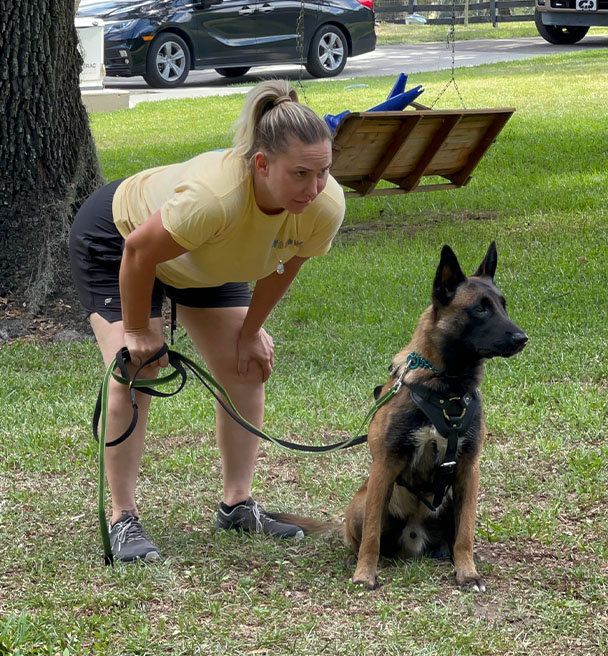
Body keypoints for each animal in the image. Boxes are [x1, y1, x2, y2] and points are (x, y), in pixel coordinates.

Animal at [276, 241, 528, 588]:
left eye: (504, 306)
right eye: (480, 309)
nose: (522, 338)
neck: (446, 388)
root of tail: (414, 539)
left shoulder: (468, 469)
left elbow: (465, 534)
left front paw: (468, 572)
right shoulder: (385, 465)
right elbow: (371, 537)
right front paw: (364, 574)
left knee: (453, 536)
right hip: (363, 501)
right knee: (364, 537)